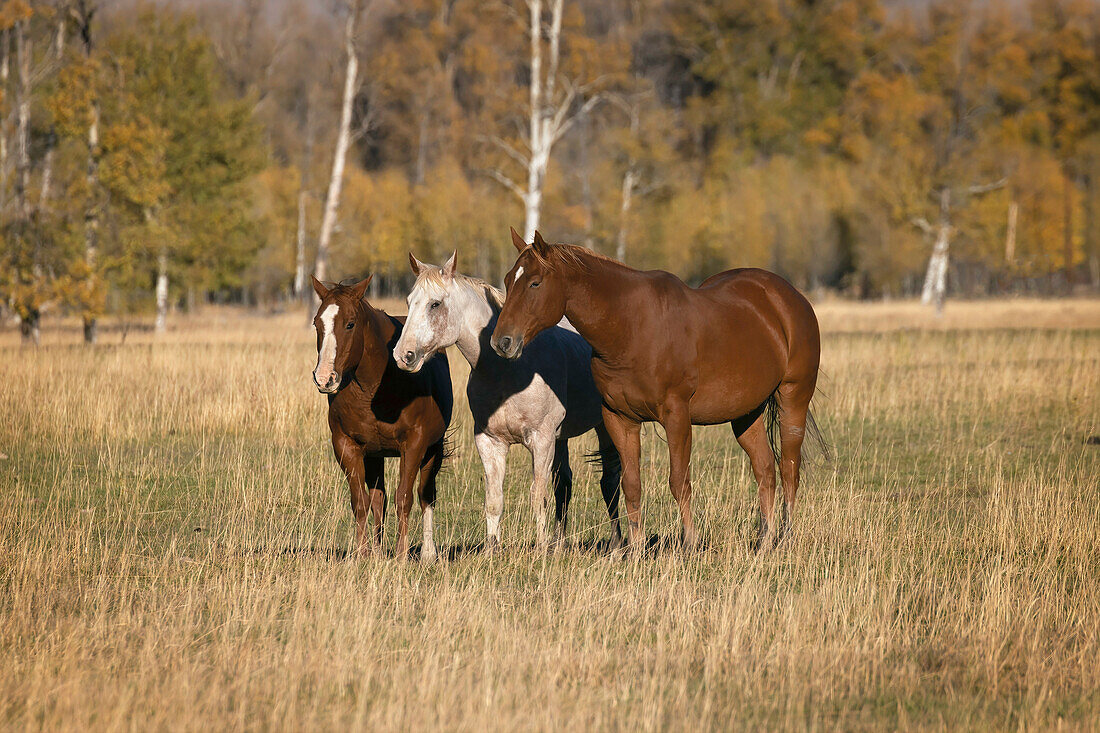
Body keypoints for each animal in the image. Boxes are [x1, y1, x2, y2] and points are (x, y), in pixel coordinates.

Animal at [310, 274, 451, 559]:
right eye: (316, 323)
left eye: (350, 324)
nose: (324, 378)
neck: (377, 387)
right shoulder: (347, 446)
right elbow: (361, 502)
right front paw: (362, 553)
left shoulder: (414, 445)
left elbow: (405, 498)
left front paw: (401, 554)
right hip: (375, 454)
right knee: (379, 499)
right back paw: (376, 550)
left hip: (434, 449)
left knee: (426, 494)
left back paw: (428, 553)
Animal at [396, 250, 624, 548]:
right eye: (409, 302)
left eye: (435, 304)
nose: (403, 355)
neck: (508, 371)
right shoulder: (490, 442)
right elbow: (494, 500)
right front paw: (493, 549)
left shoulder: (541, 440)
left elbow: (538, 497)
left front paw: (541, 550)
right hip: (561, 438)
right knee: (564, 485)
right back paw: (560, 544)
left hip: (604, 426)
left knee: (610, 483)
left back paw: (617, 545)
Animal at [490, 228, 827, 548]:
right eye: (508, 280)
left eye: (535, 283)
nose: (502, 342)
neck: (631, 328)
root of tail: (788, 298)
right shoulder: (619, 419)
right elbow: (630, 485)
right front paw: (636, 548)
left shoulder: (676, 416)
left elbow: (678, 481)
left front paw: (689, 542)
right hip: (746, 413)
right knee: (765, 470)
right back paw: (765, 540)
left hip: (793, 398)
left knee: (789, 468)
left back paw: (785, 537)